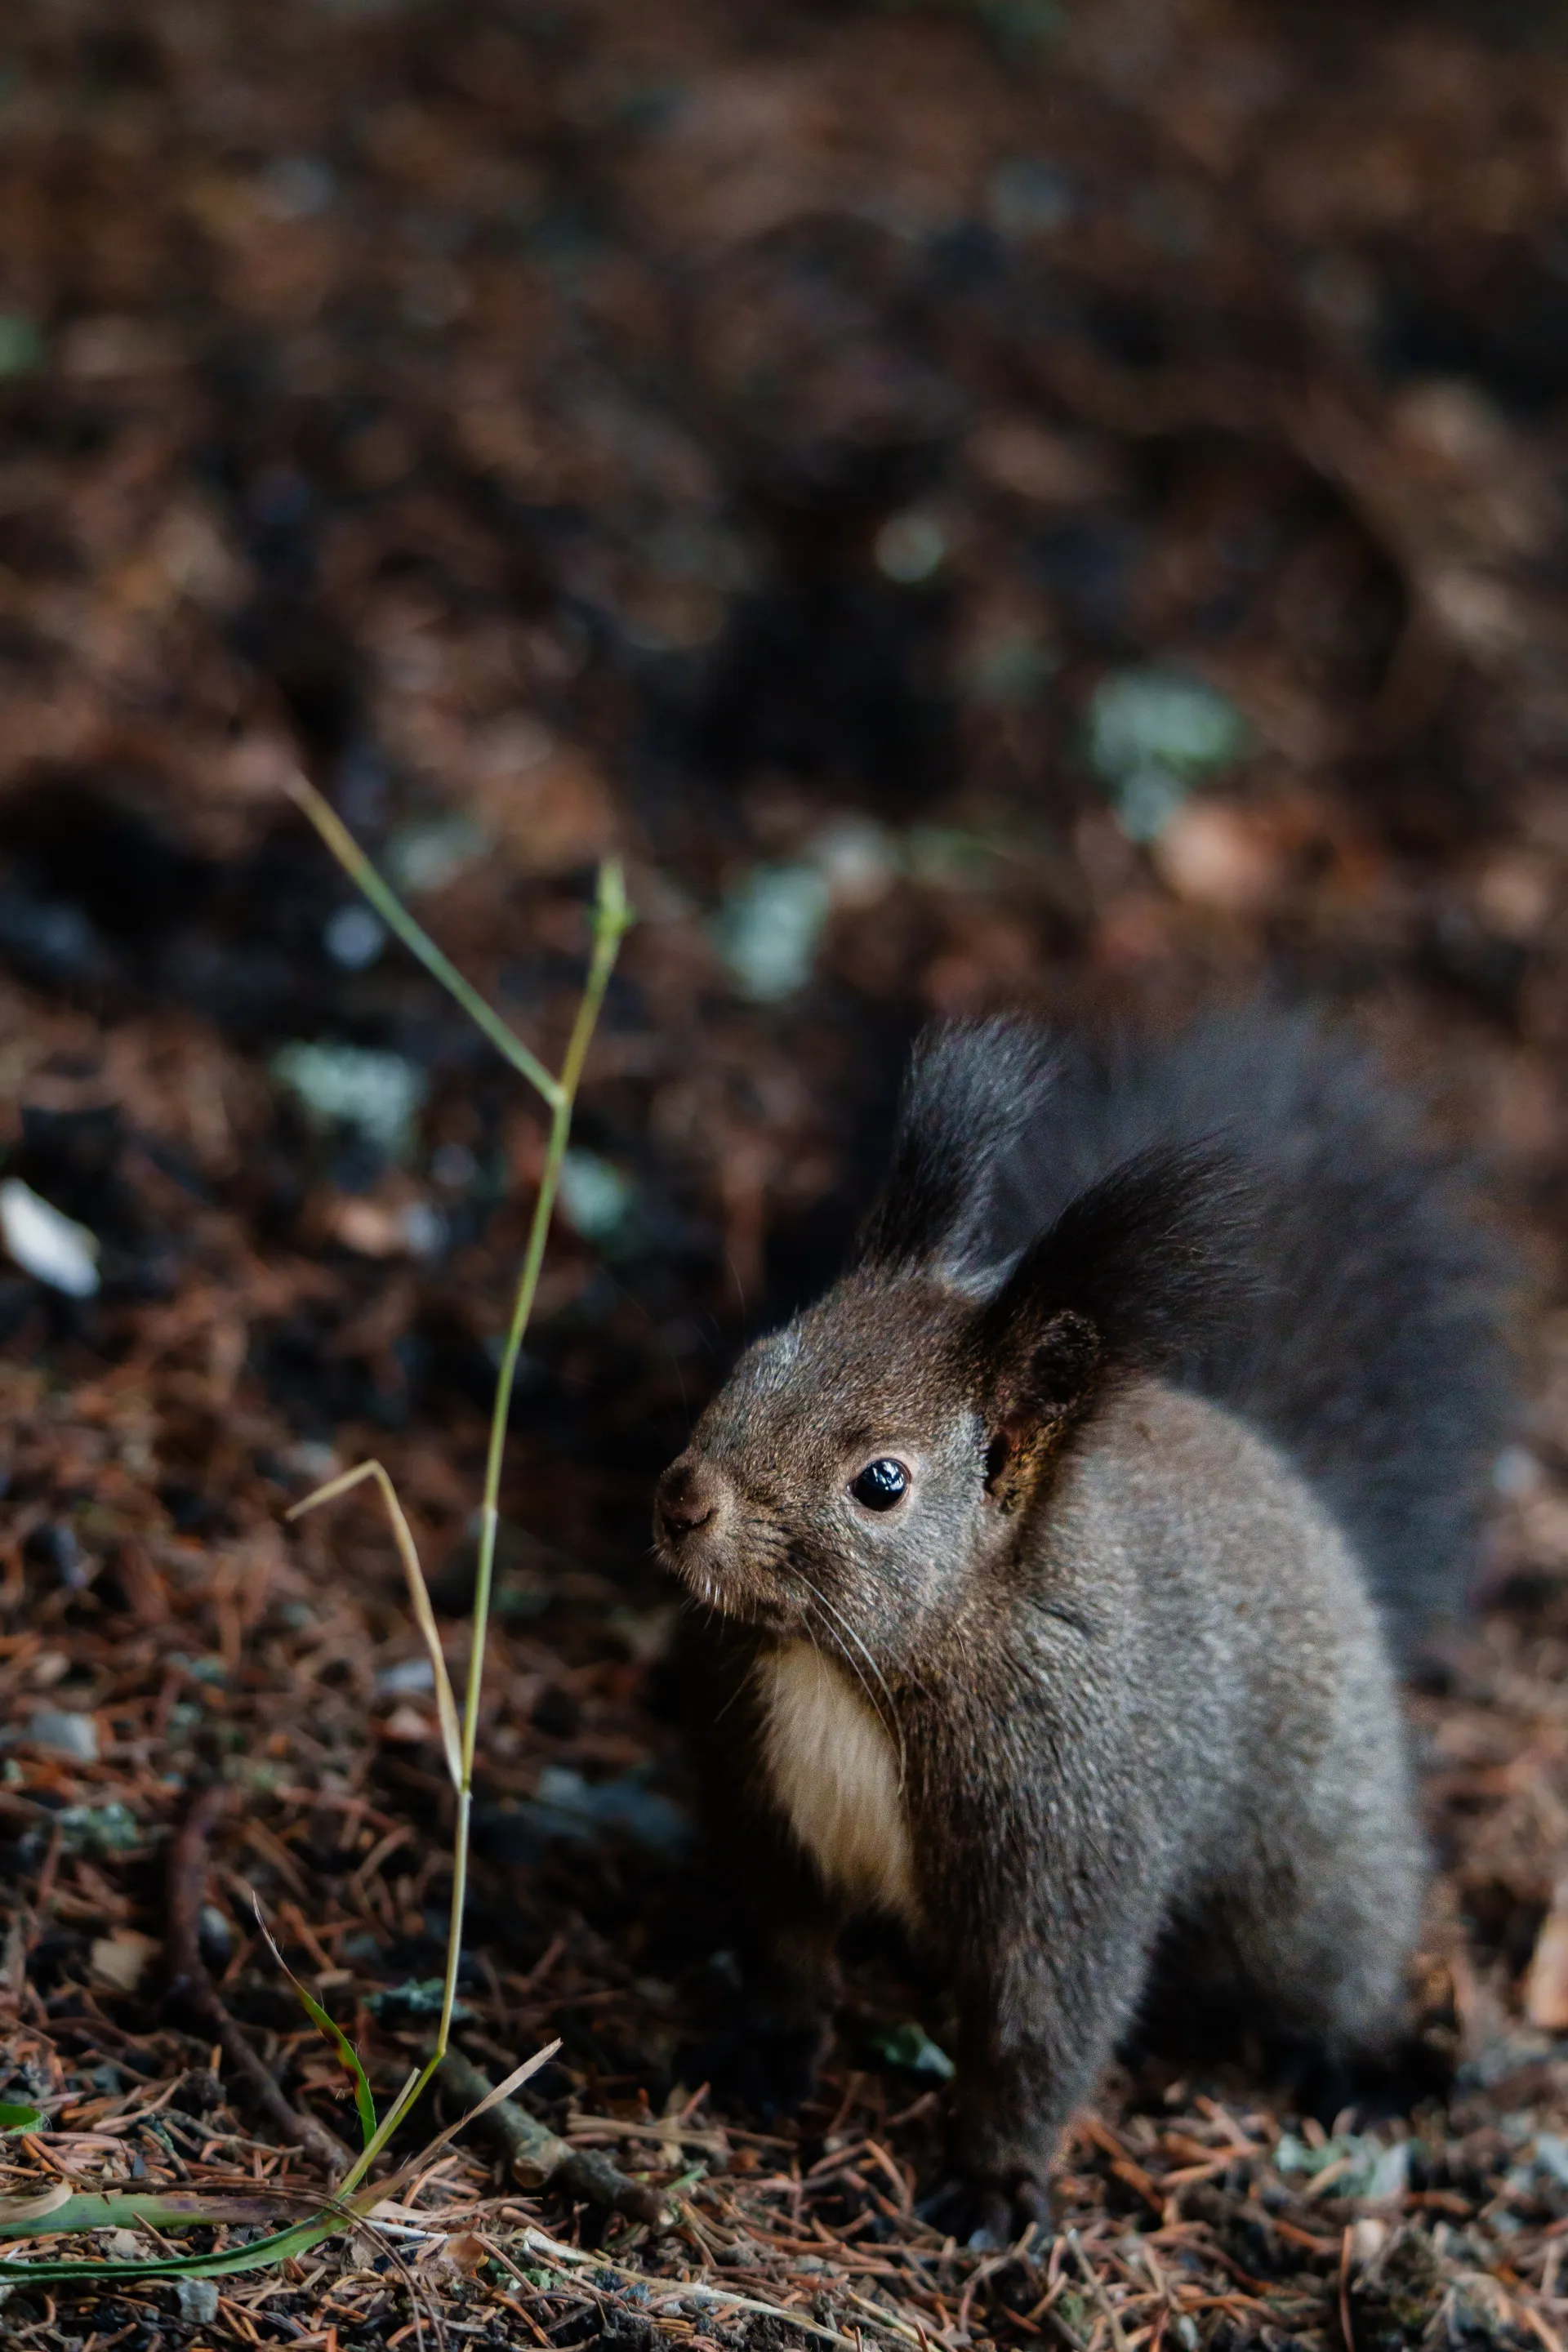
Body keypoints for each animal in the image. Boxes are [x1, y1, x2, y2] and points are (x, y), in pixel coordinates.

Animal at [654, 1009, 1515, 2240]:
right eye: (756, 1357)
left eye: (882, 1482)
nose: (686, 1501)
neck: (850, 1666)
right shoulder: (762, 1791)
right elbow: (782, 1940)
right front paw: (765, 2050)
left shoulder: (1074, 1829)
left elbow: (1043, 2025)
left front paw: (994, 2182)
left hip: (1308, 1865)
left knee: (1335, 1957)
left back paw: (1368, 2062)